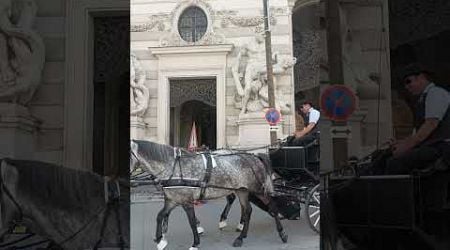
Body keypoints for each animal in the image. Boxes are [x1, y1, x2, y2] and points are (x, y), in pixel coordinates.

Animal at [130, 140, 286, 249]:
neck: (172, 167)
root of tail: (254, 156)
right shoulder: (172, 199)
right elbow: (160, 215)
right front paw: (159, 239)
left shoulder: (186, 201)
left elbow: (191, 221)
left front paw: (195, 243)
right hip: (242, 190)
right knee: (247, 210)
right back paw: (240, 237)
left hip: (257, 189)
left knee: (272, 206)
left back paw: (282, 234)